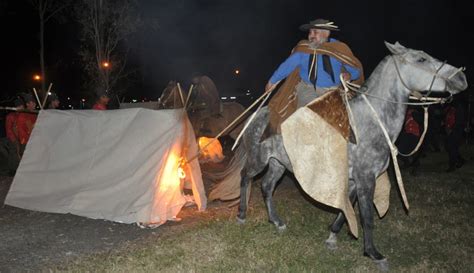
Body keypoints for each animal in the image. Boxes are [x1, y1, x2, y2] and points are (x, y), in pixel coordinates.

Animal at [233, 41, 466, 268]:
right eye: (421, 59)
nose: (461, 78)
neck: (370, 122)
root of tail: (256, 114)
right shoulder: (366, 179)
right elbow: (367, 217)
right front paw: (373, 253)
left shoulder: (354, 180)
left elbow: (346, 210)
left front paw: (332, 237)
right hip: (259, 160)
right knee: (245, 177)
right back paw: (242, 215)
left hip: (278, 163)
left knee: (266, 186)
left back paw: (277, 221)